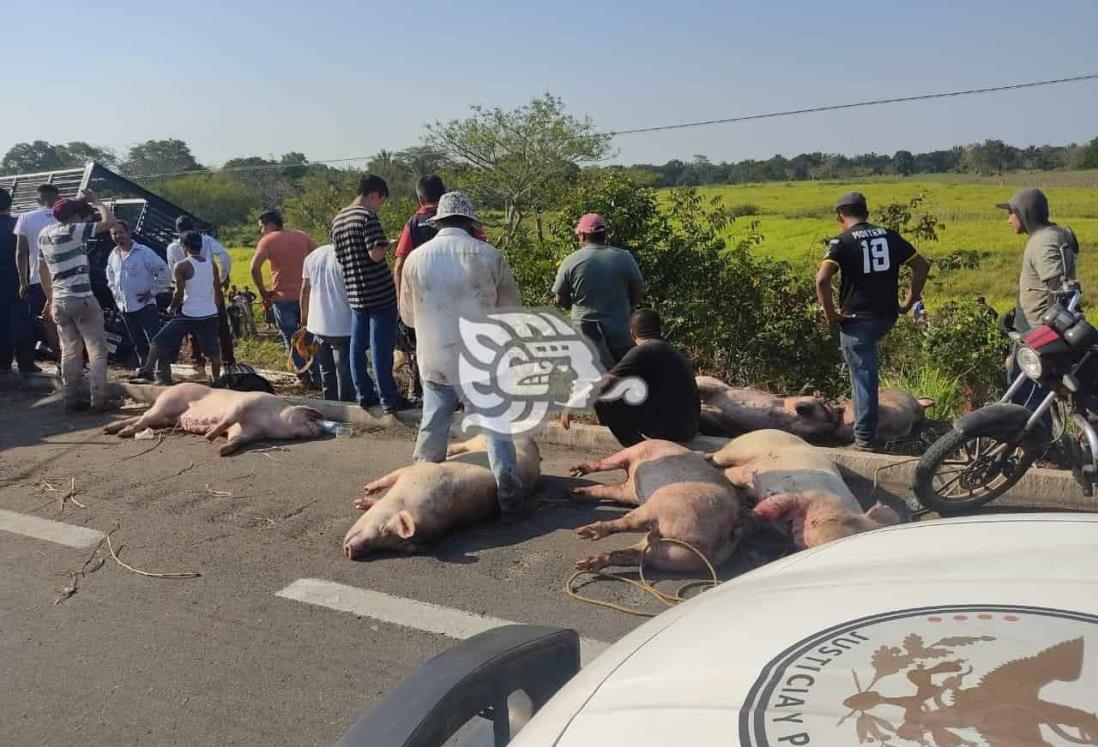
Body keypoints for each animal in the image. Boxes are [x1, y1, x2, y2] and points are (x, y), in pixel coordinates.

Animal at [101, 384, 325, 454]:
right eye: (311, 416)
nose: (322, 429)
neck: (271, 423)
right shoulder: (246, 402)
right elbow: (228, 419)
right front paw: (209, 436)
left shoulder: (249, 431)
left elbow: (238, 439)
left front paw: (223, 450)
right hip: (166, 403)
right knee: (142, 419)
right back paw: (120, 433)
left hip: (165, 418)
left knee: (141, 418)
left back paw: (110, 429)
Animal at [342, 432, 540, 560]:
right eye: (384, 527)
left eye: (391, 545)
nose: (352, 551)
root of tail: (532, 440)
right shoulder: (419, 470)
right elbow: (390, 476)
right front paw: (364, 494)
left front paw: (361, 500)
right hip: (481, 439)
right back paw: (451, 450)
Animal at [566, 437, 746, 571]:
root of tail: (730, 528)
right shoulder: (628, 491)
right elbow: (605, 489)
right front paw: (574, 490)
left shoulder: (635, 451)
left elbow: (606, 463)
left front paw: (574, 472)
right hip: (678, 555)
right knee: (635, 555)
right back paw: (584, 564)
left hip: (664, 506)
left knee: (628, 523)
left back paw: (583, 533)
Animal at [702, 426, 900, 549]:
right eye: (819, 523)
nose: (803, 541)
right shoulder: (804, 492)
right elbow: (779, 500)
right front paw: (758, 509)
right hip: (737, 449)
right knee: (720, 458)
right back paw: (705, 457)